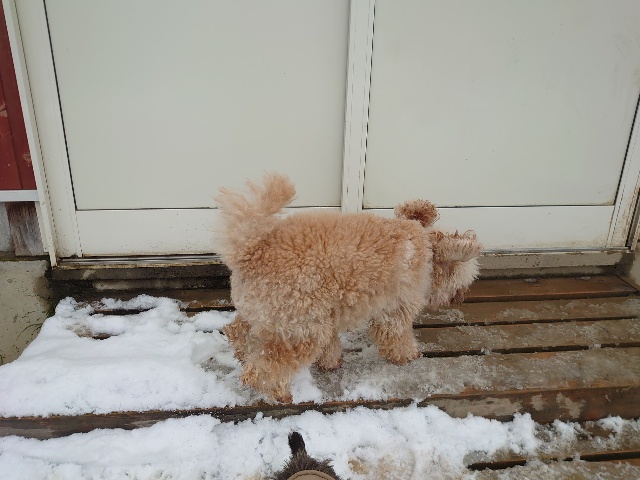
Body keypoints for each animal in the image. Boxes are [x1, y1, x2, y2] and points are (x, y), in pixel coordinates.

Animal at [216, 174, 482, 402]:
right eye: (465, 281)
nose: (460, 298)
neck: (422, 247)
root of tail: (250, 252)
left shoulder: (327, 314)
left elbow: (331, 345)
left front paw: (331, 362)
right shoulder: (395, 310)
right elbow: (397, 336)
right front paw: (407, 355)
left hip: (269, 314)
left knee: (237, 332)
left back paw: (243, 354)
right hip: (302, 327)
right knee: (263, 370)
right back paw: (278, 392)